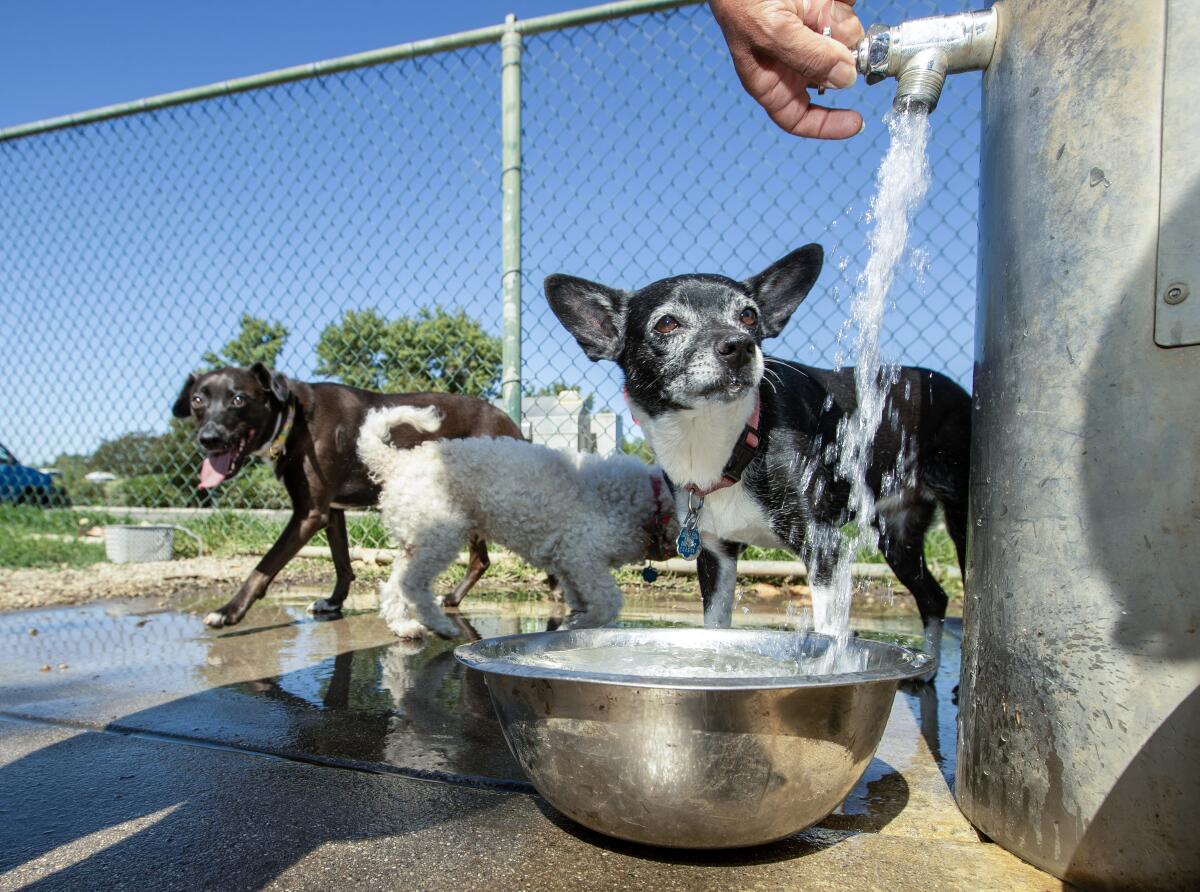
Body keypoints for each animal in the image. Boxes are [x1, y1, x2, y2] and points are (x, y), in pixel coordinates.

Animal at [172, 362, 520, 629]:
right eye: (198, 400)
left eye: (239, 399)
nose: (208, 439)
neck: (296, 420)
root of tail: (508, 421)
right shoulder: (331, 511)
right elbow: (342, 563)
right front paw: (333, 602)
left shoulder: (309, 513)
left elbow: (264, 566)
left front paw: (229, 611)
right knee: (481, 560)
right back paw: (454, 597)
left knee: (483, 558)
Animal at [355, 405, 681, 643]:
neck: (650, 500)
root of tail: (397, 462)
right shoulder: (581, 552)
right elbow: (607, 601)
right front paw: (582, 623)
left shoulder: (568, 563)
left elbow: (579, 597)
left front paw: (576, 622)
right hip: (440, 533)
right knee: (413, 583)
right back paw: (440, 625)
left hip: (417, 537)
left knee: (394, 582)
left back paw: (404, 626)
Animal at [549, 243, 969, 672]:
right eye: (666, 324)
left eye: (749, 315)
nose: (739, 344)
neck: (726, 441)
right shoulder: (716, 556)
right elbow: (714, 630)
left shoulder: (822, 547)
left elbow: (830, 634)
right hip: (895, 535)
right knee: (933, 597)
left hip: (957, 519)